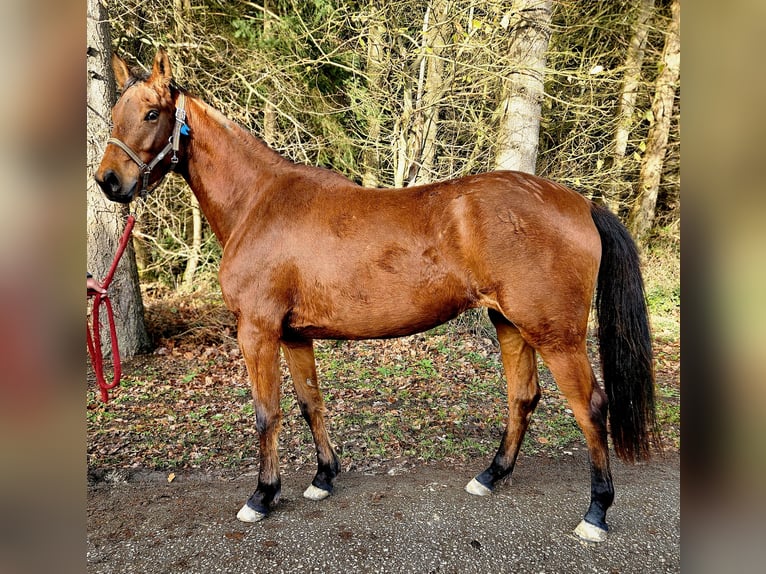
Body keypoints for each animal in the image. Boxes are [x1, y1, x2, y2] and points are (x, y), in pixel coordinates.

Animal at [95, 48, 657, 543]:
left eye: (151, 113)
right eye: (116, 115)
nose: (109, 181)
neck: (258, 202)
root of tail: (581, 203)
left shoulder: (257, 329)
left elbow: (266, 412)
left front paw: (262, 495)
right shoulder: (295, 335)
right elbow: (311, 403)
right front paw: (323, 477)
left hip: (555, 334)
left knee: (591, 407)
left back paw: (596, 512)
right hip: (511, 324)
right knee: (523, 397)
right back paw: (491, 475)